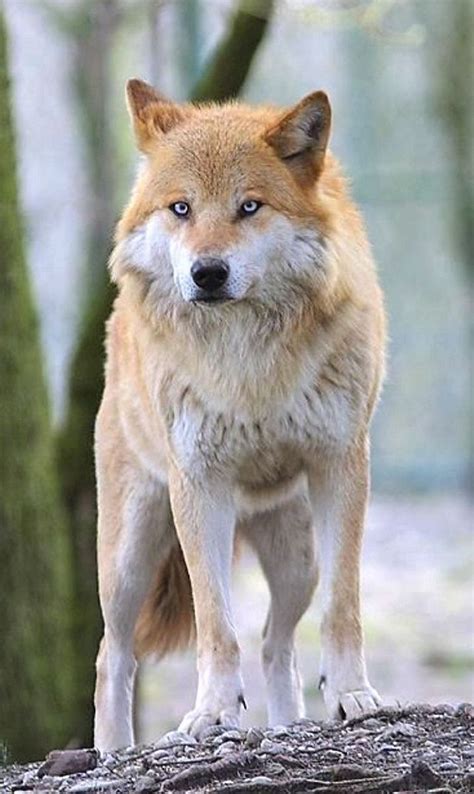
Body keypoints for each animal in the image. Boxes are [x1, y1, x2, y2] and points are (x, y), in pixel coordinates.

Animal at [93, 79, 386, 751]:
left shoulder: (341, 466)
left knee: (278, 643)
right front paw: (212, 713)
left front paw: (353, 696)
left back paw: (289, 725)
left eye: (249, 207)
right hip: (127, 560)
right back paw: (110, 753)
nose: (208, 273)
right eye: (180, 208)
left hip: (298, 559)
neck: (247, 360)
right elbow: (214, 622)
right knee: (111, 654)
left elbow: (344, 604)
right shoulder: (199, 487)